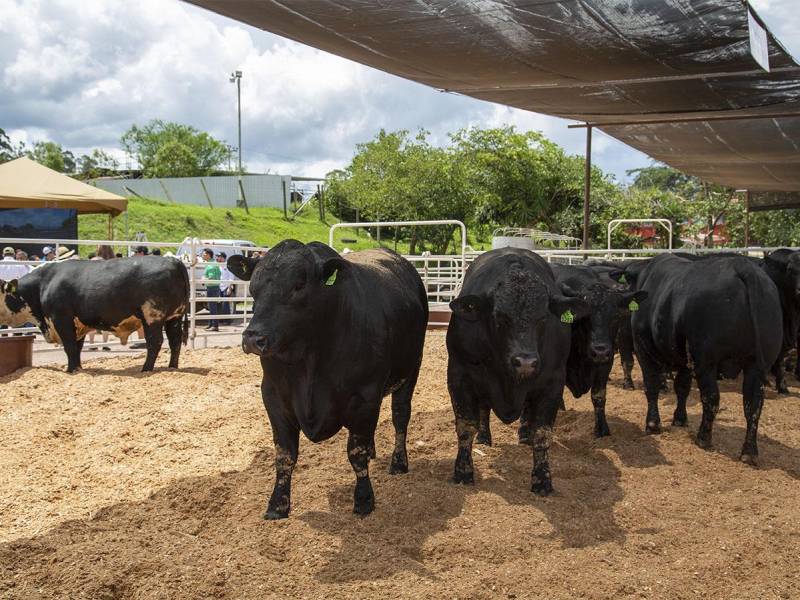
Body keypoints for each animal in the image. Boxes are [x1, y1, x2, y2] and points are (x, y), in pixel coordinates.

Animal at [0, 255, 190, 372]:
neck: (43, 284)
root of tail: (173, 261)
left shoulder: (61, 319)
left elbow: (69, 346)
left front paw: (70, 370)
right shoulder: (78, 323)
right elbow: (77, 348)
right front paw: (77, 368)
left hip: (152, 317)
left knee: (155, 342)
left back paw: (146, 369)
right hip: (174, 317)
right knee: (175, 342)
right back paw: (172, 367)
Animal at [230, 241, 432, 516]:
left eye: (299, 285)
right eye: (253, 287)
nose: (253, 338)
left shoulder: (365, 396)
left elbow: (355, 452)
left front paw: (364, 499)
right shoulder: (273, 396)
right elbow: (284, 455)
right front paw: (277, 505)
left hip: (411, 369)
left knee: (400, 416)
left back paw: (399, 462)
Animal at [446, 246, 592, 494]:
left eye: (543, 318)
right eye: (499, 317)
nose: (525, 361)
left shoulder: (553, 383)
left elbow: (542, 433)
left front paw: (542, 480)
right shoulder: (459, 375)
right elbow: (466, 427)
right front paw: (463, 472)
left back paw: (524, 435)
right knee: (484, 408)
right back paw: (484, 437)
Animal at [620, 253, 780, 464]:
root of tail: (742, 266)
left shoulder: (643, 349)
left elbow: (652, 386)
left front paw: (653, 424)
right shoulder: (685, 359)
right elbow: (682, 387)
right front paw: (680, 418)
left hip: (706, 361)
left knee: (711, 398)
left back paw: (703, 438)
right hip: (757, 365)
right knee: (753, 404)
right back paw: (749, 452)